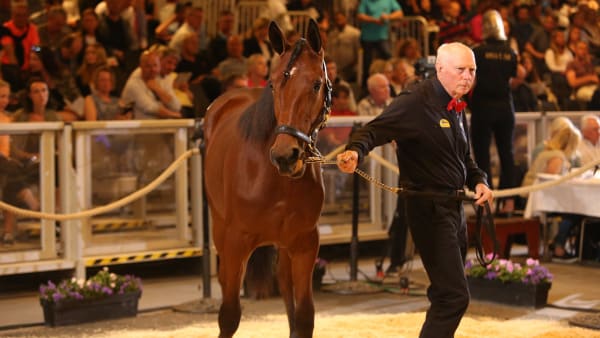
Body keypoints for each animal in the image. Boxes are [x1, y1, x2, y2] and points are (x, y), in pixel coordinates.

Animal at [204, 19, 330, 338]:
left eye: (316, 84)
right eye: (273, 84)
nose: (285, 155)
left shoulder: (304, 244)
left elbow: (304, 315)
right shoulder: (235, 243)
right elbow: (229, 315)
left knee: (285, 286)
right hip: (221, 232)